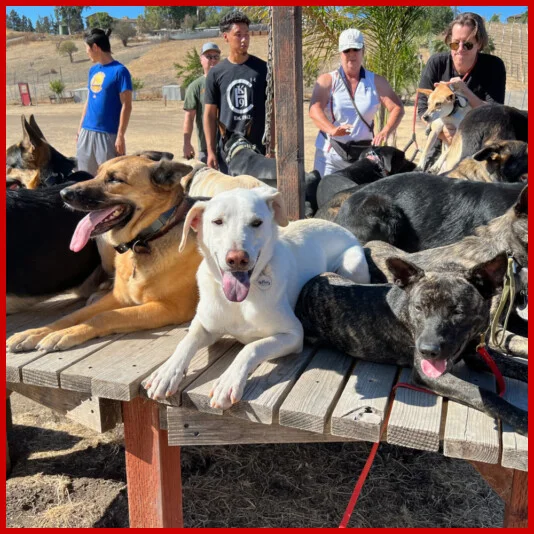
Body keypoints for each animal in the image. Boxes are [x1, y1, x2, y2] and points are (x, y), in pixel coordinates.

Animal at [147, 187, 372, 410]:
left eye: (257, 223)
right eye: (217, 221)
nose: (237, 258)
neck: (240, 303)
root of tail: (339, 226)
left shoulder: (293, 334)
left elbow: (251, 347)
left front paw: (228, 381)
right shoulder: (205, 324)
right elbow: (187, 341)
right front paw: (167, 372)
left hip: (352, 266)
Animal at [296, 256, 528, 440]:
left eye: (458, 312)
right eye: (419, 308)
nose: (427, 350)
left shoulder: (476, 355)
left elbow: (520, 367)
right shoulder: (427, 374)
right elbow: (484, 394)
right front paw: (524, 419)